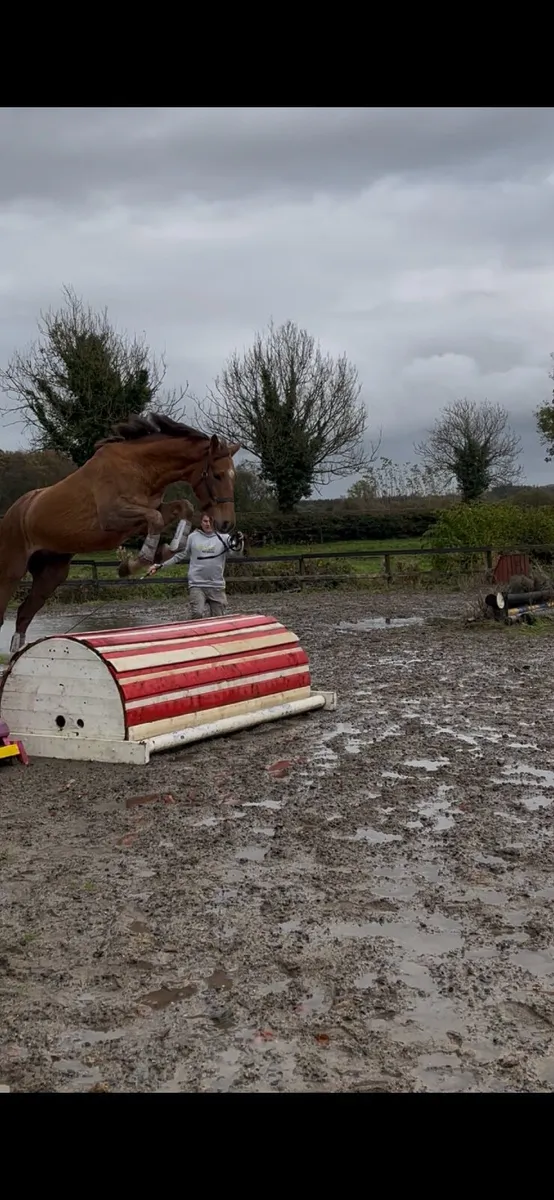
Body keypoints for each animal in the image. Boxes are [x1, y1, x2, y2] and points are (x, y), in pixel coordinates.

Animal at [0, 412, 240, 655]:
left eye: (233, 477)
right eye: (217, 475)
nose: (226, 524)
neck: (141, 467)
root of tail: (12, 512)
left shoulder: (144, 516)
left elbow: (182, 508)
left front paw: (163, 551)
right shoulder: (113, 518)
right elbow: (156, 518)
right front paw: (136, 563)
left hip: (51, 573)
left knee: (24, 613)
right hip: (11, 571)